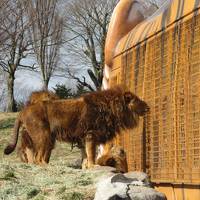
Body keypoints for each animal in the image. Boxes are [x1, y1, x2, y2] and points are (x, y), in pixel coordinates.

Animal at [3, 86, 149, 168]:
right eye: (137, 100)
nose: (148, 107)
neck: (112, 110)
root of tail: (23, 111)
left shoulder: (83, 138)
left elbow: (86, 155)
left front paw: (86, 167)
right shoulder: (90, 134)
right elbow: (91, 154)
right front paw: (94, 166)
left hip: (47, 139)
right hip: (43, 136)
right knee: (37, 158)